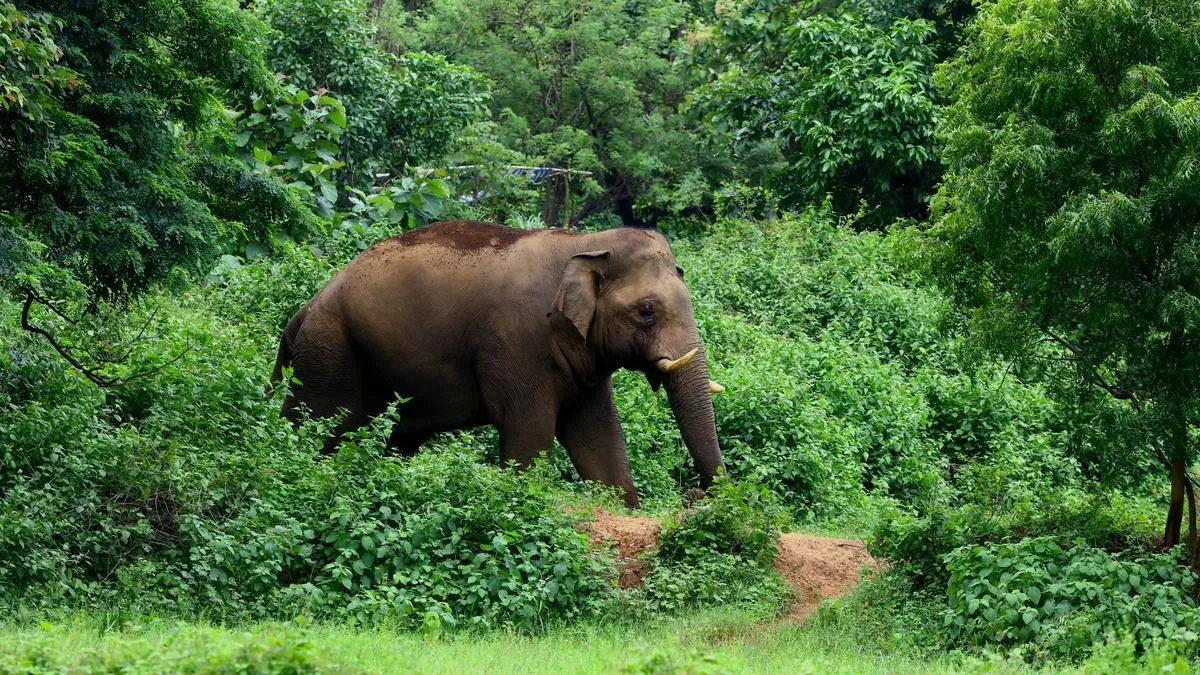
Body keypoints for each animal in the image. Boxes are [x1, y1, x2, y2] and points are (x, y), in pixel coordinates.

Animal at [270, 219, 725, 507]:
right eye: (647, 311)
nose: (695, 493)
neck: (587, 241)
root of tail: (303, 311)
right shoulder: (518, 341)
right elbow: (530, 430)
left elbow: (598, 436)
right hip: (330, 353)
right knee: (317, 425)